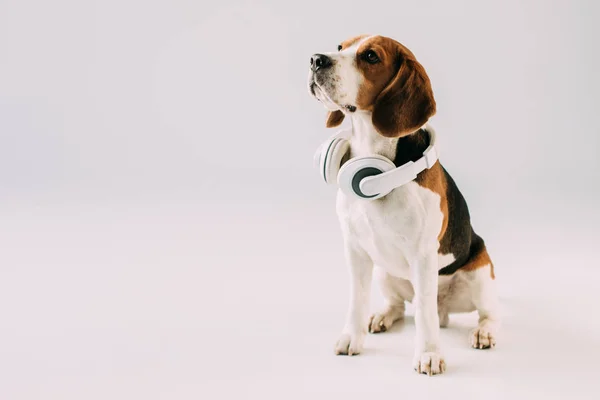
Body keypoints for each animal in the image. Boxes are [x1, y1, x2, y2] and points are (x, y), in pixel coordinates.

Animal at [308, 34, 500, 376]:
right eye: (341, 47)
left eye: (371, 56)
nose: (316, 60)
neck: (375, 172)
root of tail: (446, 310)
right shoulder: (355, 250)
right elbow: (357, 299)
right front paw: (352, 336)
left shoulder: (422, 256)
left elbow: (424, 312)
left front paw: (429, 354)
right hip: (385, 273)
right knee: (398, 305)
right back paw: (382, 316)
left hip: (480, 273)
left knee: (486, 312)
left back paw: (484, 331)